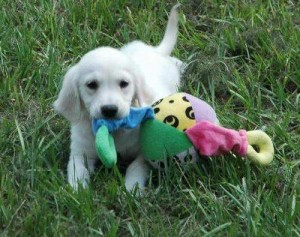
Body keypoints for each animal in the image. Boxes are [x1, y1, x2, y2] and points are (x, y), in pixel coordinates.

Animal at [52, 5, 182, 191]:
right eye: (91, 85)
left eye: (124, 83)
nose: (109, 110)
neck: (114, 130)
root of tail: (153, 51)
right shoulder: (80, 152)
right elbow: (78, 172)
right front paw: (79, 192)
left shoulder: (144, 151)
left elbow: (136, 167)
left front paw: (132, 189)